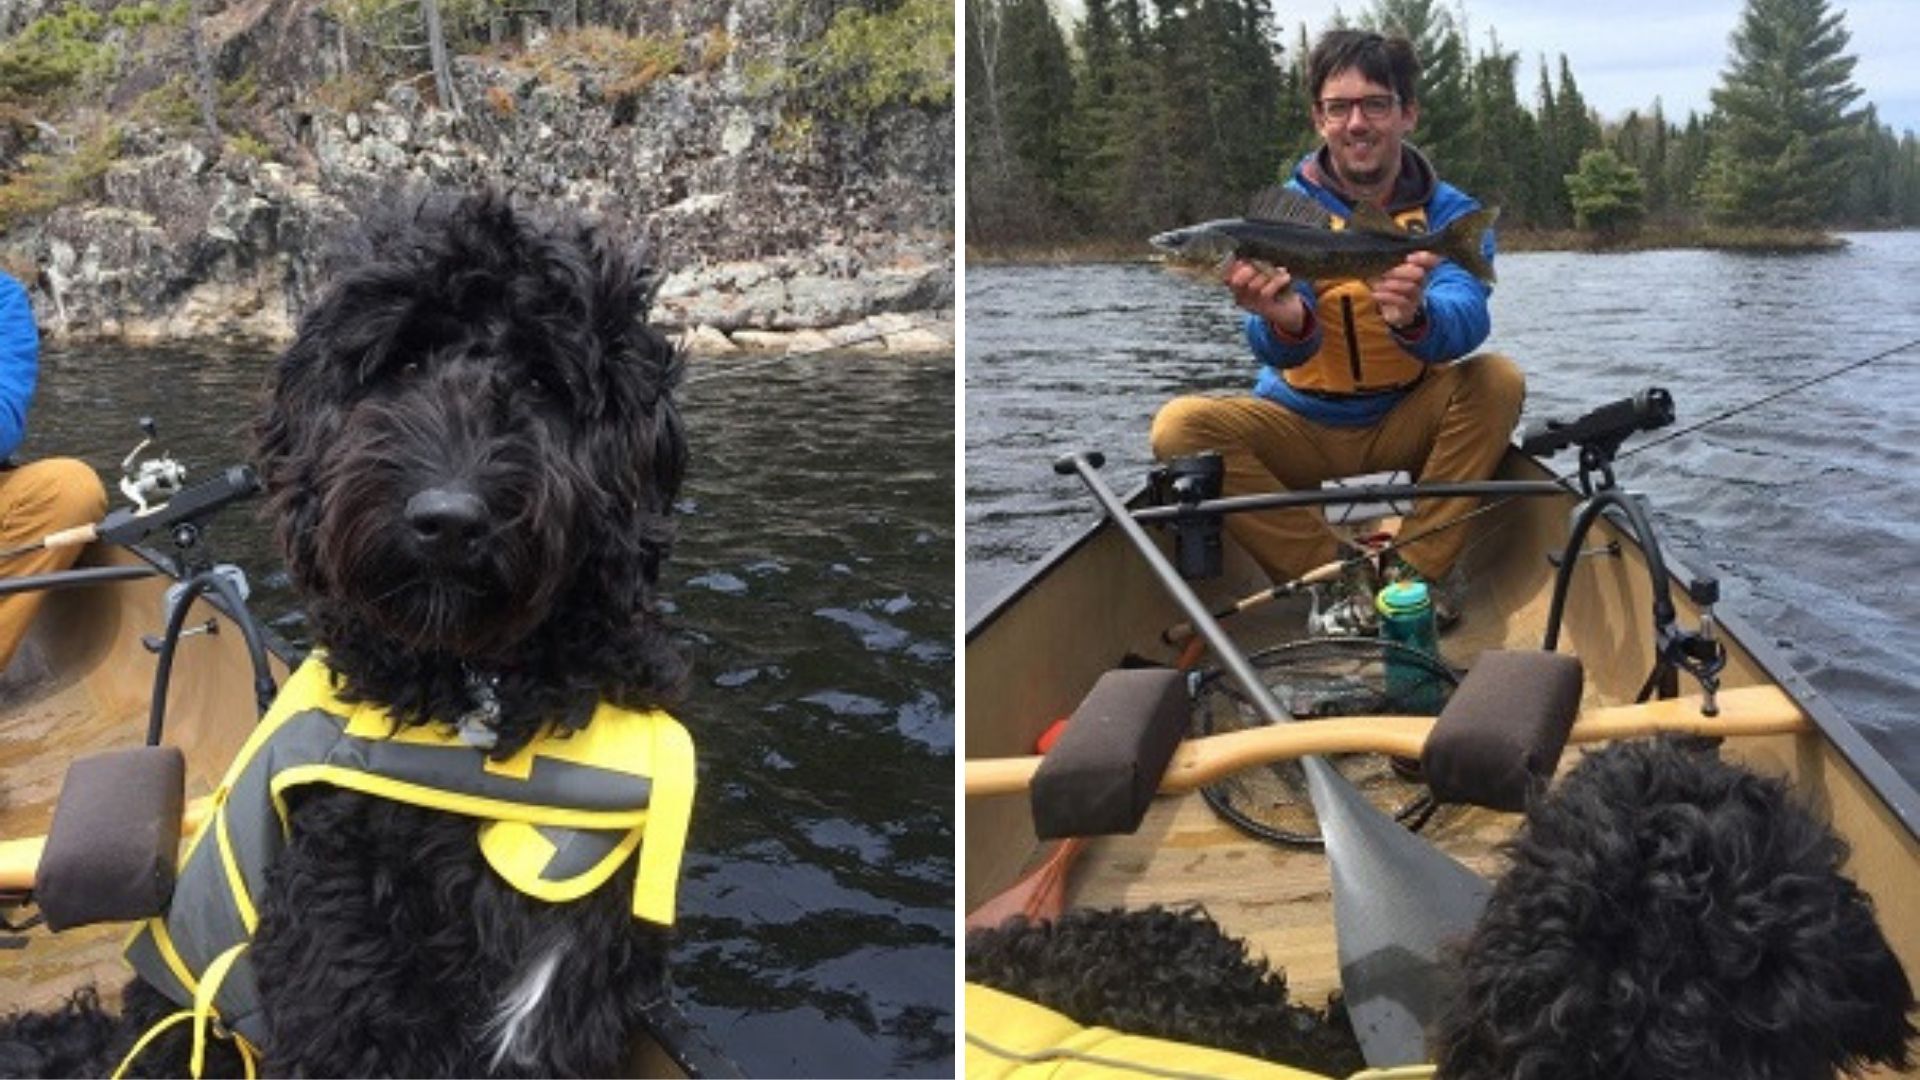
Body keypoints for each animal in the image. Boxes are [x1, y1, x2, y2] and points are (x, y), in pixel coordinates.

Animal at [0, 189, 695, 1068]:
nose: (448, 521)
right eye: (403, 365)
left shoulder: (571, 988)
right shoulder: (342, 986)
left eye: (543, 378)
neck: (475, 705)